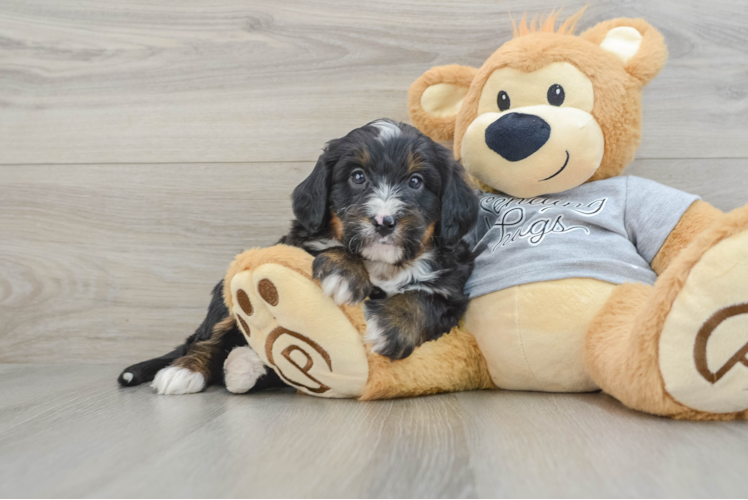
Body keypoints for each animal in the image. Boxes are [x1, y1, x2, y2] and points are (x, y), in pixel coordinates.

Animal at [118, 120, 480, 394]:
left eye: (416, 181)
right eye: (357, 177)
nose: (384, 221)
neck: (382, 265)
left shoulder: (452, 289)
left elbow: (423, 300)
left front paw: (388, 327)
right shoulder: (295, 245)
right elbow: (329, 246)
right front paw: (344, 274)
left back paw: (244, 366)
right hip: (224, 298)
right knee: (209, 338)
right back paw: (185, 371)